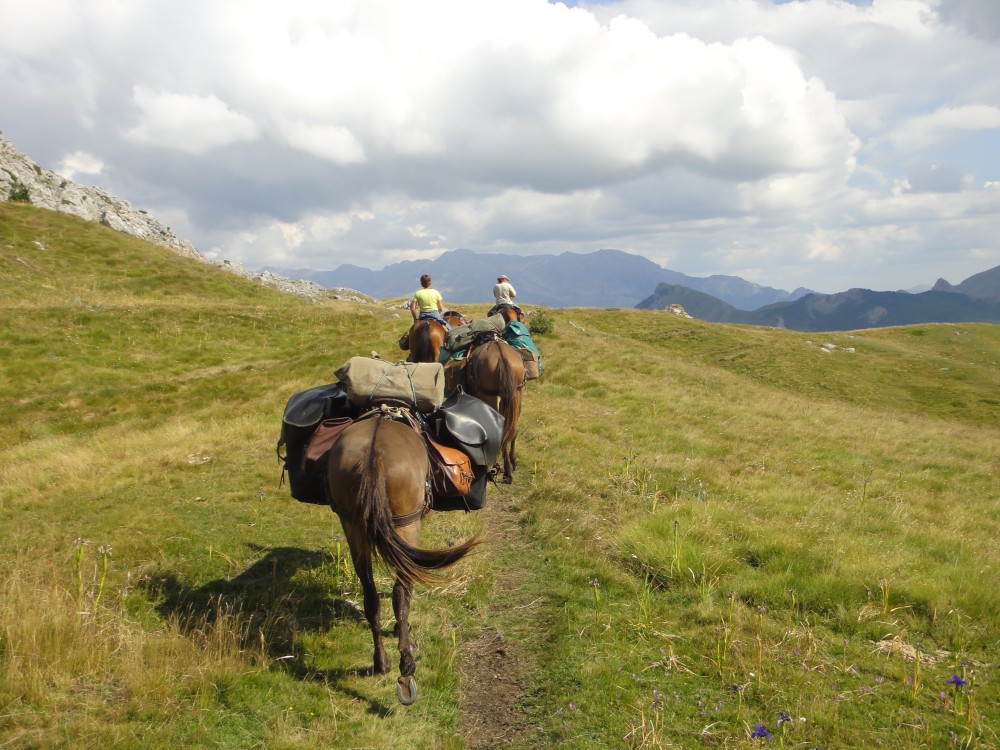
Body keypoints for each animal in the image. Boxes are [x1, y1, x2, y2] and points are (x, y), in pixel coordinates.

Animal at [326, 412, 478, 704]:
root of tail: (372, 457)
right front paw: (401, 629)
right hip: (407, 524)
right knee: (401, 591)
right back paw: (406, 666)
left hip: (351, 524)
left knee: (370, 594)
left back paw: (381, 662)